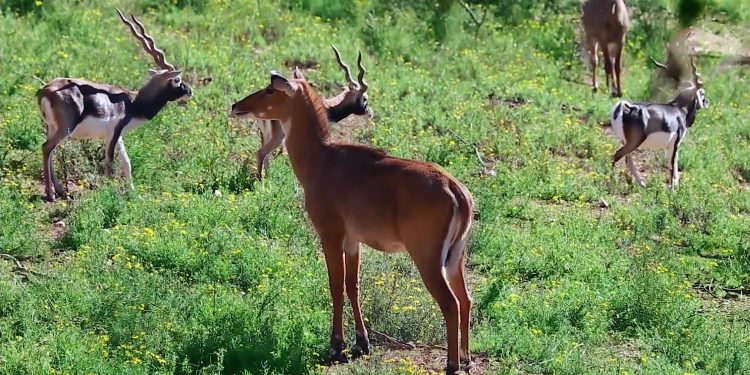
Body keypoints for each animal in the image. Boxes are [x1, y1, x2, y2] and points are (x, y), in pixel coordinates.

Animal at [37, 9, 192, 203]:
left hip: (50, 127)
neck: (134, 103)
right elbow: (109, 164)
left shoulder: (117, 136)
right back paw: (50, 195)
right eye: (177, 80)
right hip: (65, 128)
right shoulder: (113, 134)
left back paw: (60, 191)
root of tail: (45, 90)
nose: (189, 91)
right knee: (46, 148)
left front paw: (134, 194)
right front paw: (107, 193)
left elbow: (126, 162)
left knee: (49, 151)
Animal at [229, 70, 476, 375]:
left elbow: (335, 284)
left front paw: (336, 345)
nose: (236, 105)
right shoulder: (353, 241)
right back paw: (466, 358)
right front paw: (362, 343)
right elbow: (353, 285)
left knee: (451, 303)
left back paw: (452, 364)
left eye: (270, 90)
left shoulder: (330, 234)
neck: (322, 158)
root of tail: (457, 191)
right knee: (466, 299)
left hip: (428, 257)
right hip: (455, 257)